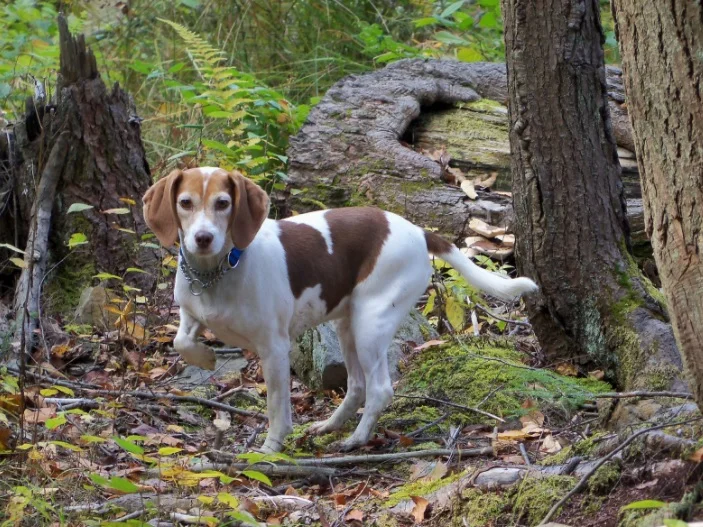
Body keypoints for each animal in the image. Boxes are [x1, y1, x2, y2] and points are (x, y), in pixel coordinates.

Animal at [143, 167, 540, 452]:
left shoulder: (274, 349)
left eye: (223, 203)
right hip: (348, 327)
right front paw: (205, 358)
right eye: (185, 202)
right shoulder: (190, 314)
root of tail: (418, 231)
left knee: (380, 389)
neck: (219, 271)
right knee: (358, 387)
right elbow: (181, 342)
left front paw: (271, 448)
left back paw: (356, 439)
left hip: (370, 325)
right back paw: (332, 426)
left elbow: (277, 408)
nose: (203, 238)